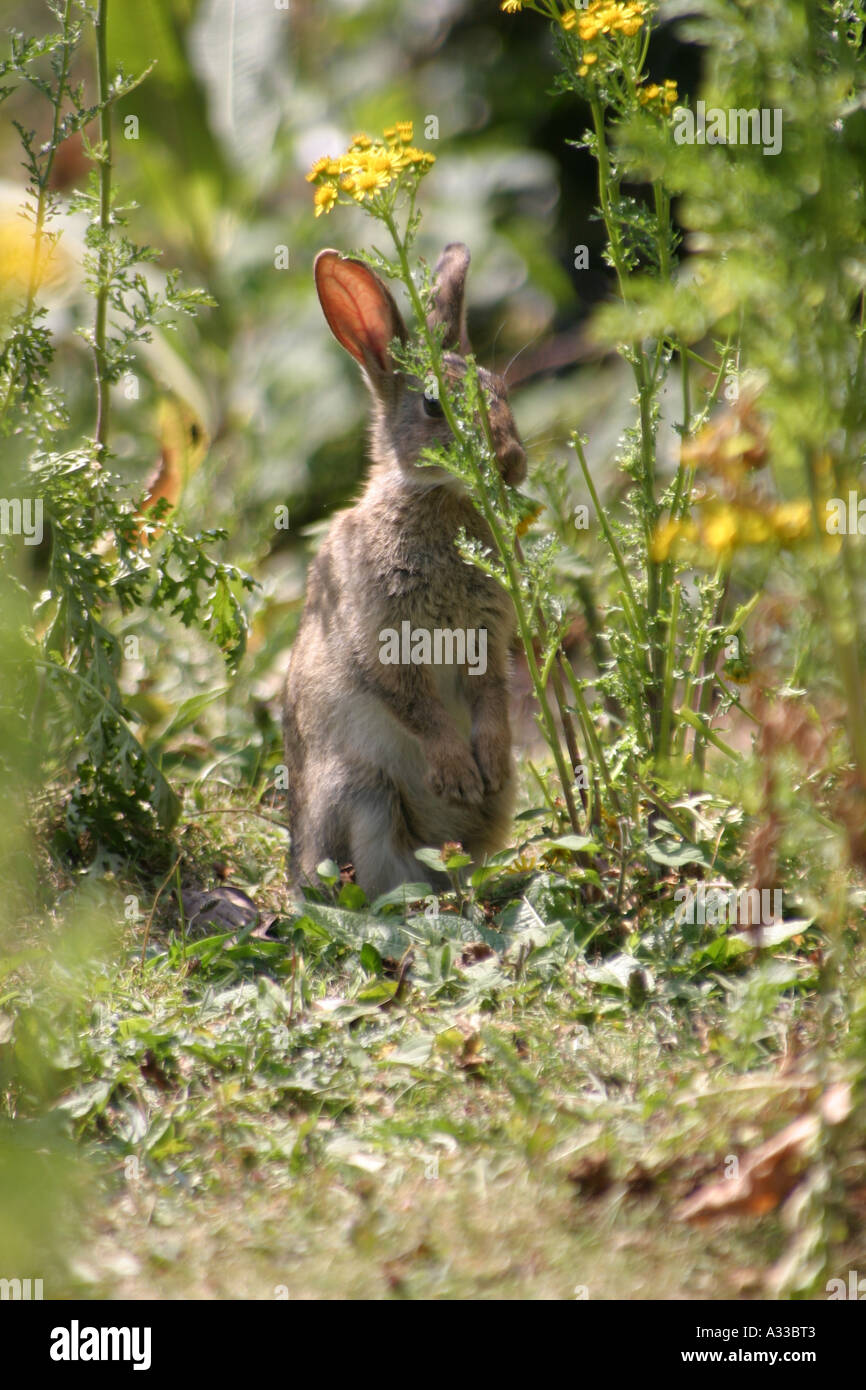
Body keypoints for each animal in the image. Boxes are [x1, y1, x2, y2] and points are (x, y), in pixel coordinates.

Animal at [282, 242, 527, 901]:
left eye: (498, 389)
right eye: (433, 404)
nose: (511, 464)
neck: (437, 501)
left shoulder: (488, 636)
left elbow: (492, 692)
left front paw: (489, 761)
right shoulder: (384, 644)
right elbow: (415, 705)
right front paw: (457, 771)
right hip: (359, 795)